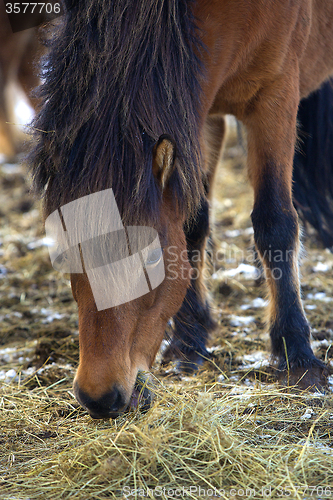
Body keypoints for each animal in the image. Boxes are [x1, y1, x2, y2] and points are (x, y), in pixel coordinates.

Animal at [29, 0, 332, 418]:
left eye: (151, 260)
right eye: (65, 257)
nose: (99, 398)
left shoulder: (276, 95)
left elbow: (275, 222)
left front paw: (297, 356)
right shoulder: (198, 112)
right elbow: (193, 223)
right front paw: (190, 342)